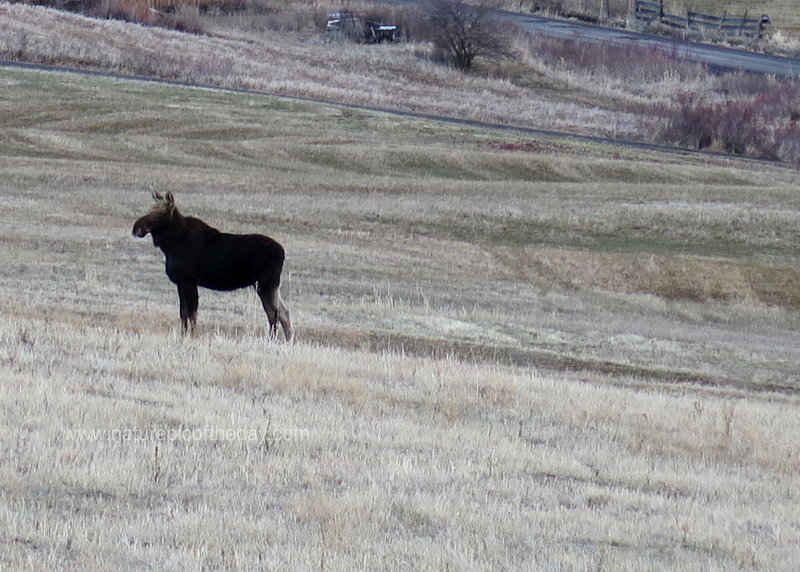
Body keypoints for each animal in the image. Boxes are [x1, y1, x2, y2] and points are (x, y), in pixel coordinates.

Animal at [133, 192, 292, 340]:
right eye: (149, 208)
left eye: (160, 212)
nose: (136, 228)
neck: (170, 245)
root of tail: (282, 252)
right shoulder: (181, 283)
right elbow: (183, 313)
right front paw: (183, 336)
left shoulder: (189, 281)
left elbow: (191, 313)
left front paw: (192, 336)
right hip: (265, 285)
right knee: (282, 312)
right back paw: (286, 340)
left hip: (267, 284)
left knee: (275, 313)